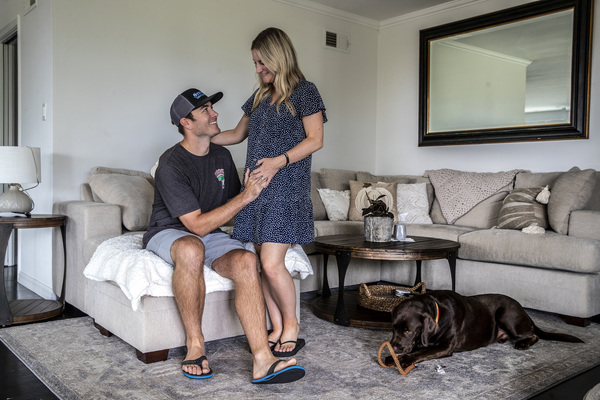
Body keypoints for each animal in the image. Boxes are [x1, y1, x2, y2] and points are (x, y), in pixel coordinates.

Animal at [385, 290, 583, 368]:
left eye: (408, 330)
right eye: (393, 328)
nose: (393, 346)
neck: (438, 311)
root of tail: (523, 309)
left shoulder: (446, 347)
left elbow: (421, 352)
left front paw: (403, 359)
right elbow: (418, 346)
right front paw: (391, 356)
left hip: (507, 316)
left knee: (534, 334)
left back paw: (523, 344)